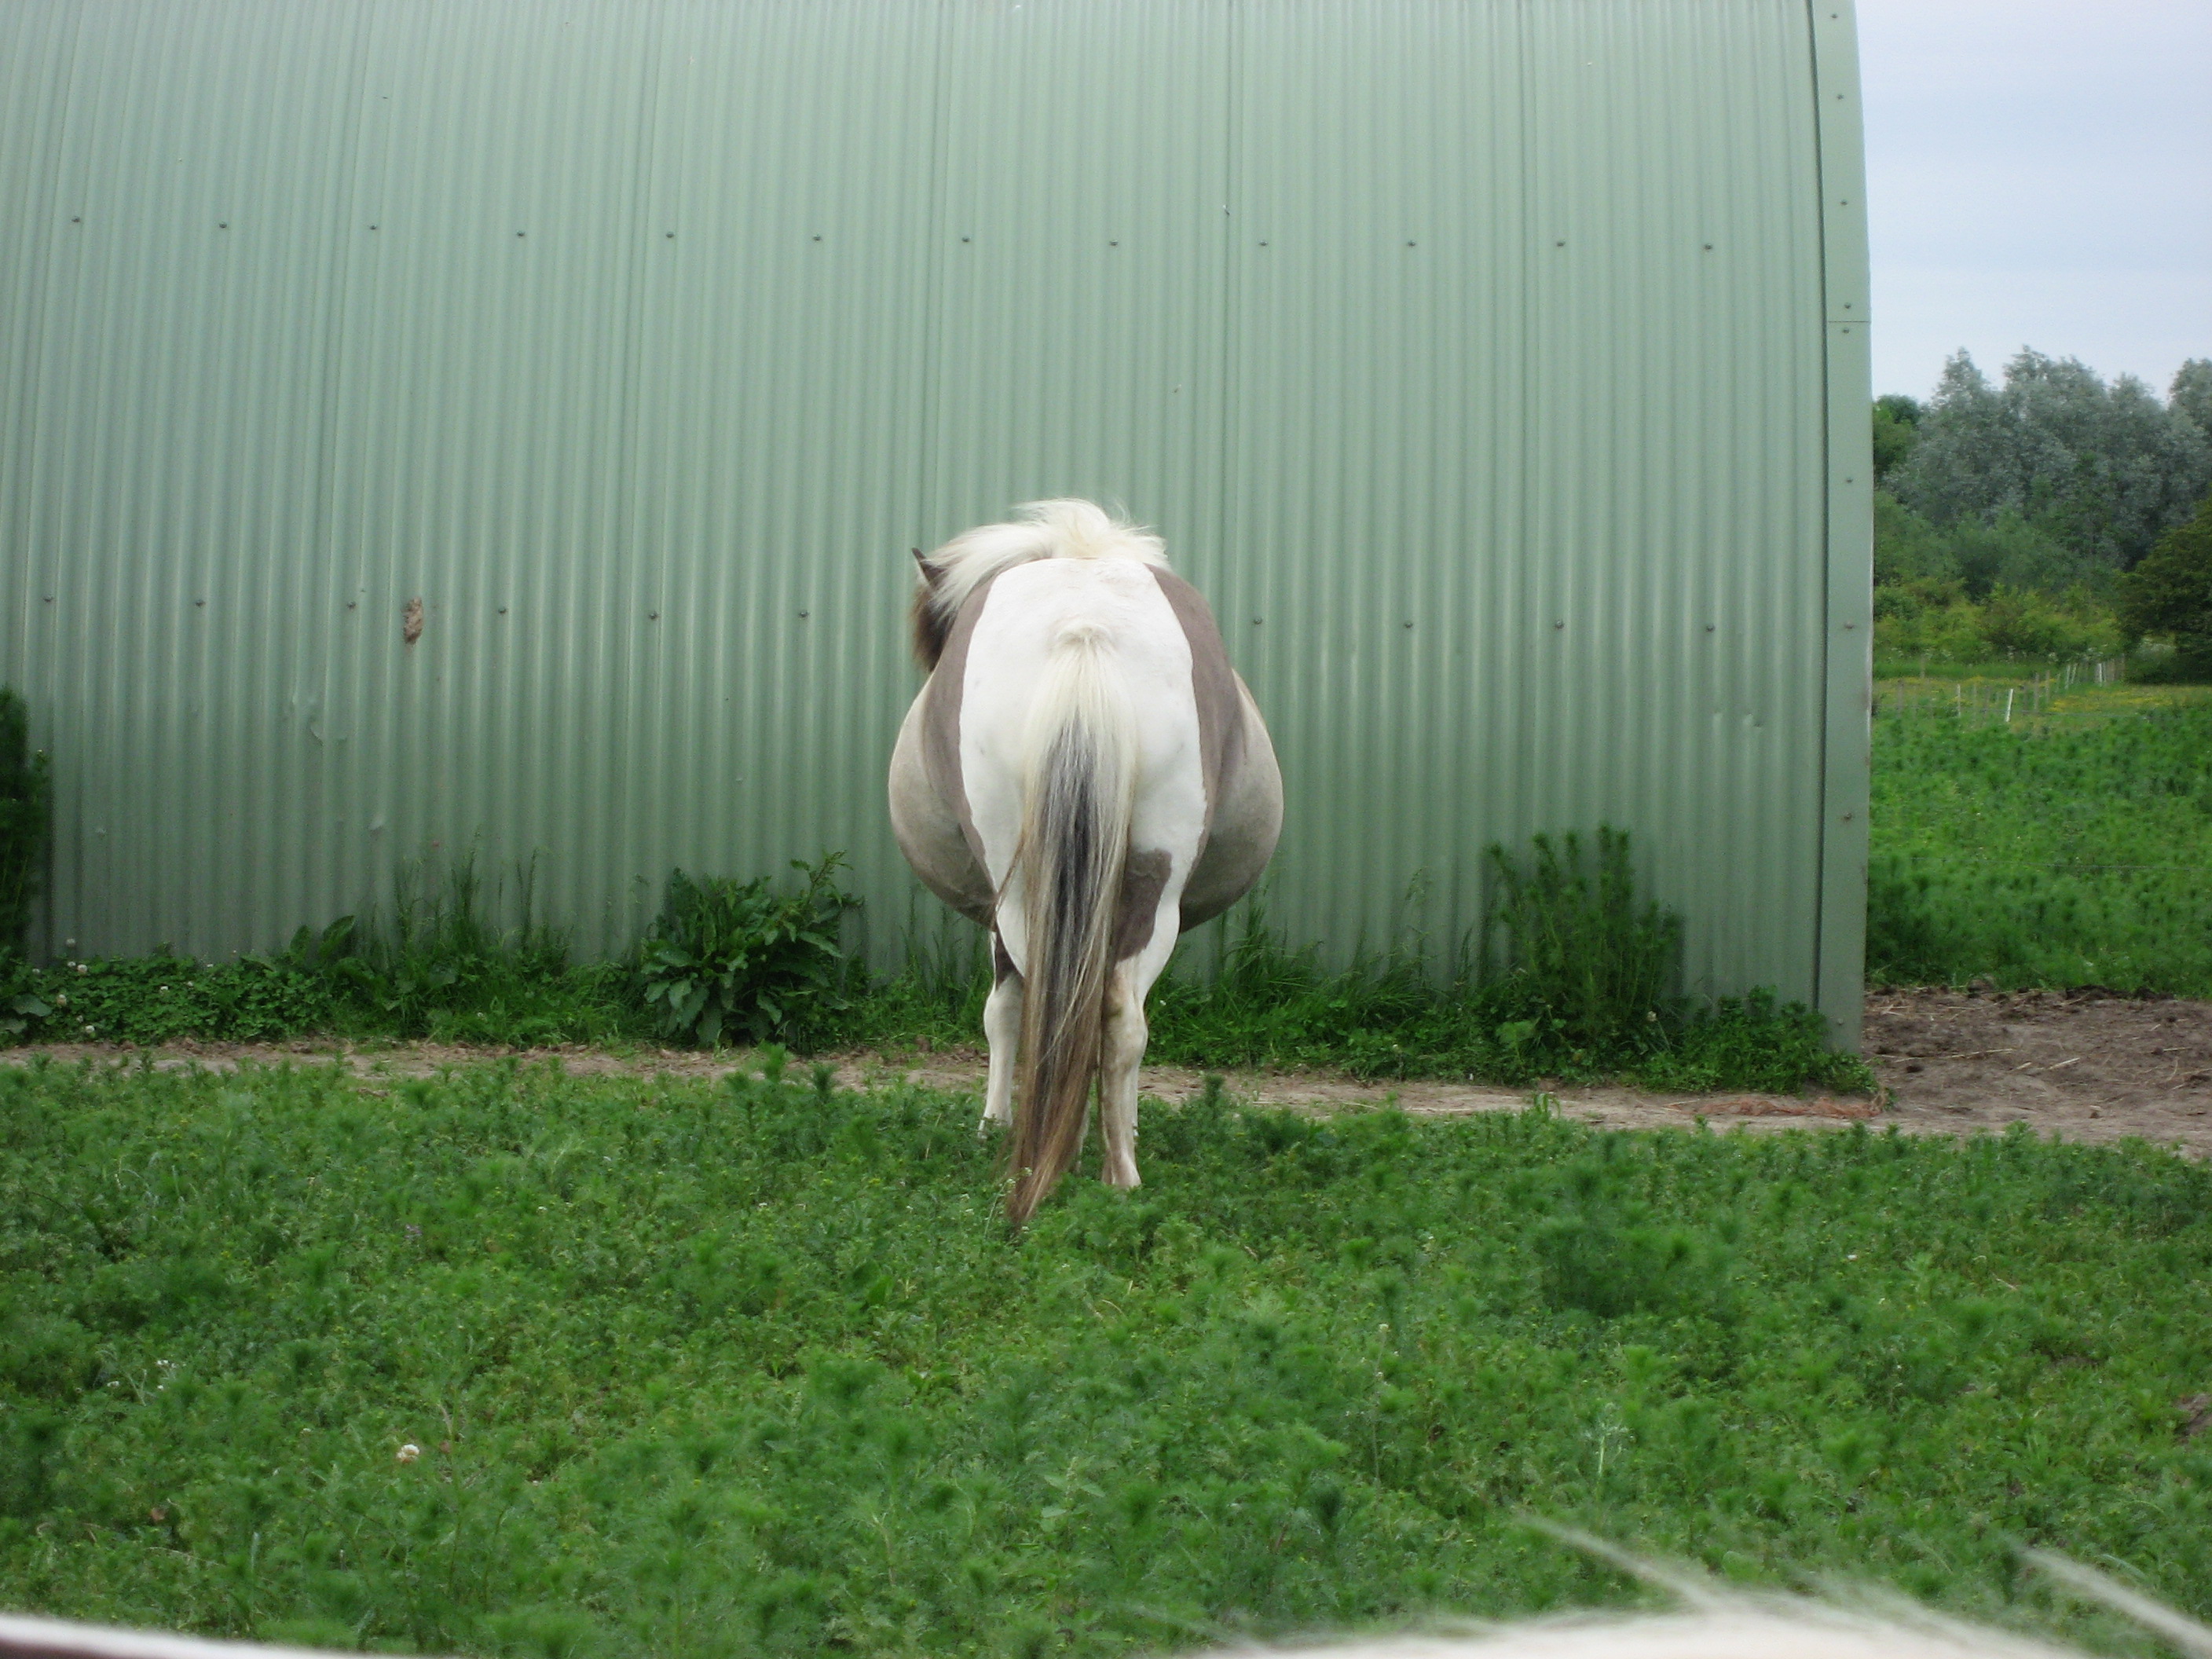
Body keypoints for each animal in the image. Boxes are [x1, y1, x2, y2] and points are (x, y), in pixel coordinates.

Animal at [888, 501, 1281, 1224]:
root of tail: (1086, 628)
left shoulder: (997, 911)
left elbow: (1002, 1009)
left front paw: (991, 1122)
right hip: (1151, 885)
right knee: (1116, 1011)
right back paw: (1118, 1171)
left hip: (1026, 893)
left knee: (1055, 1002)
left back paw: (1055, 1153)